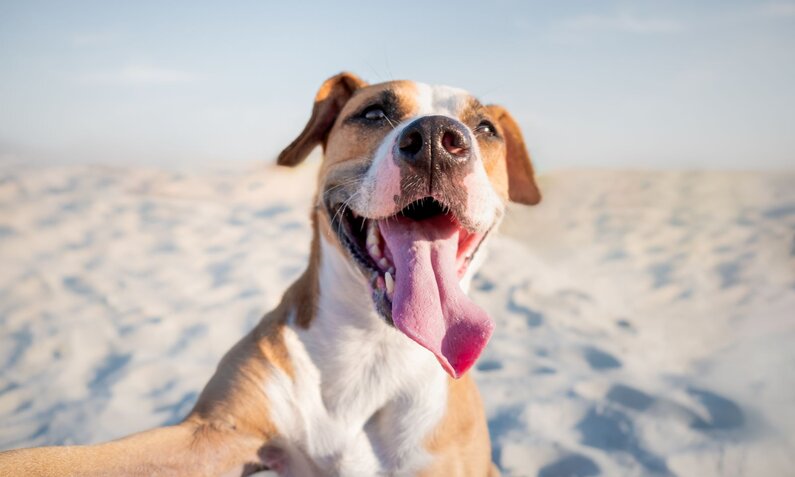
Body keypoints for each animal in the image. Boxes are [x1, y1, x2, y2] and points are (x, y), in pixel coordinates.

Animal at [0, 71, 540, 476]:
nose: (434, 141)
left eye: (485, 128)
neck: (373, 348)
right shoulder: (211, 437)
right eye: (373, 113)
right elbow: (53, 460)